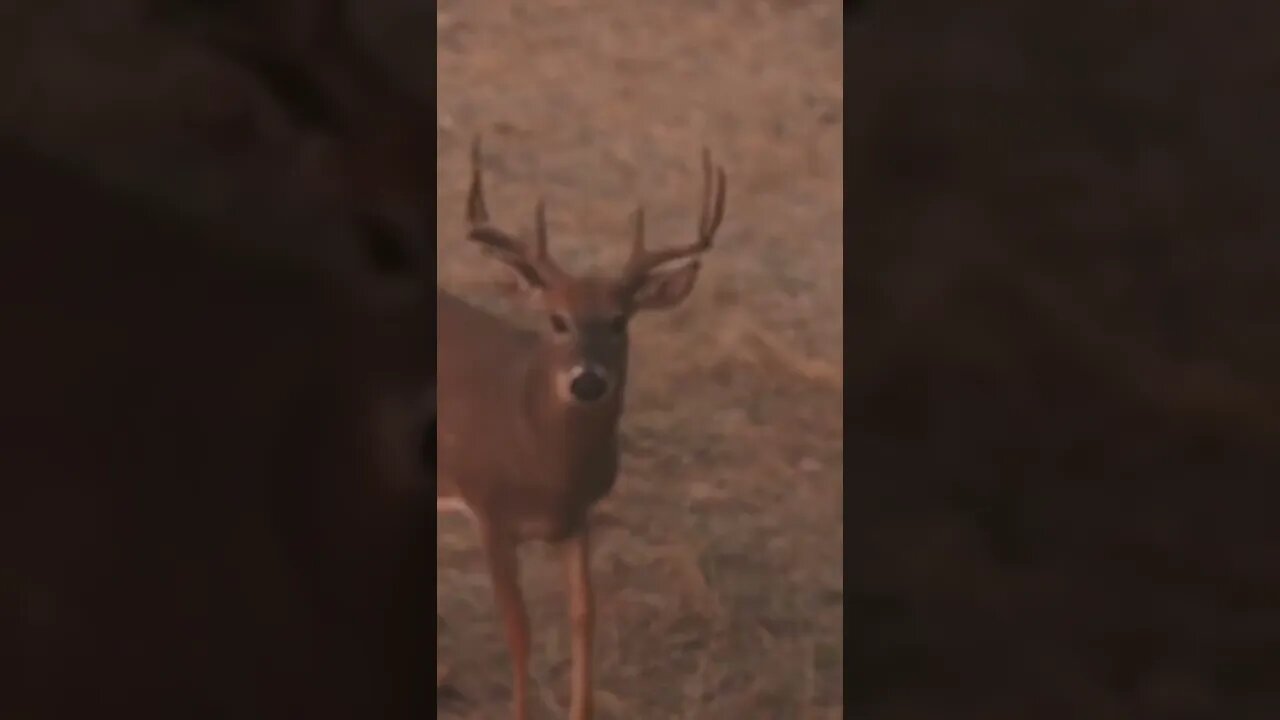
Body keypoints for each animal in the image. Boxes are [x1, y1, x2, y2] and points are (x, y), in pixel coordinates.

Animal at [435, 135, 727, 717]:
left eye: (618, 321)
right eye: (557, 319)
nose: (588, 382)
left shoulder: (577, 517)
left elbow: (584, 616)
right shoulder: (487, 509)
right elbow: (519, 629)